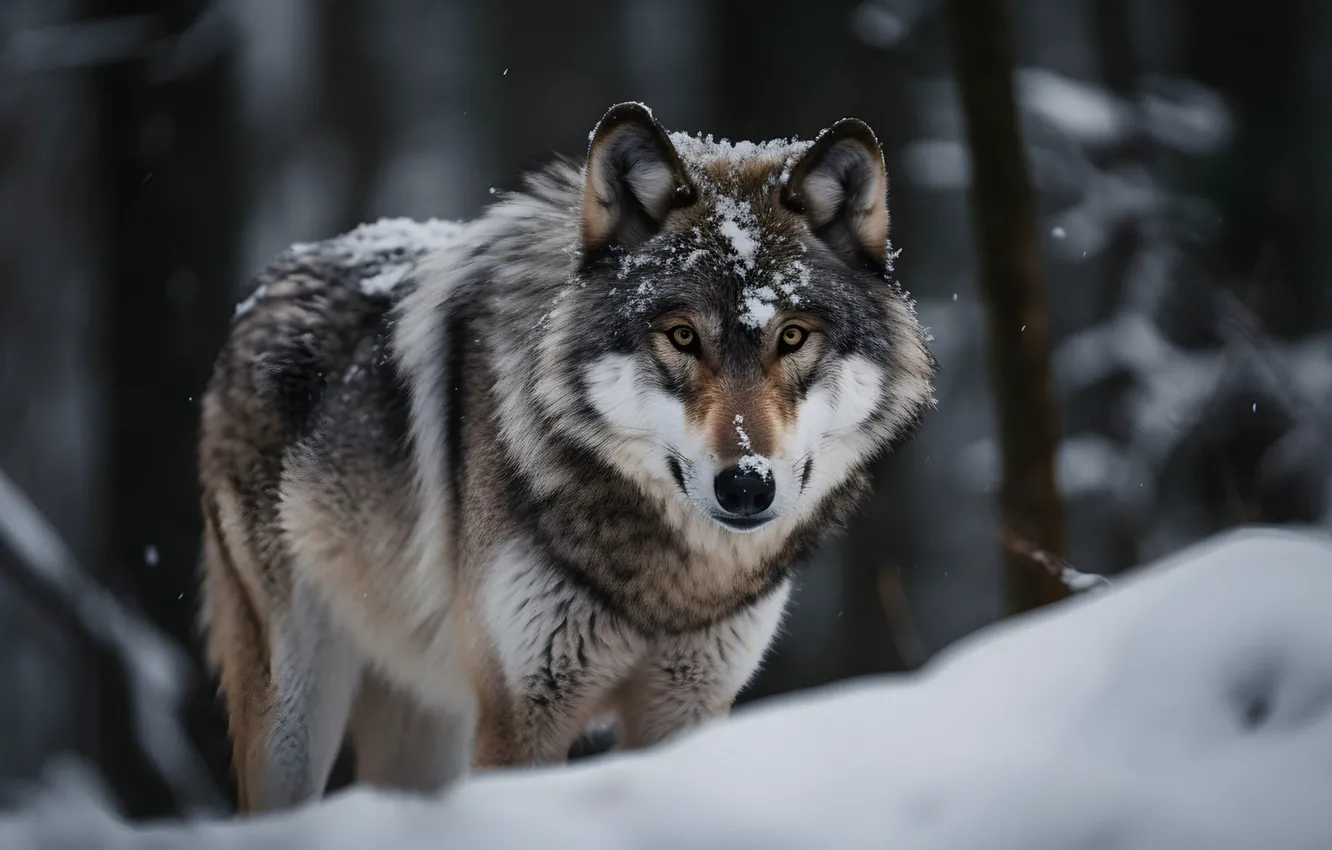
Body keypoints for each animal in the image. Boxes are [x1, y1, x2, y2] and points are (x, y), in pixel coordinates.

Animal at [197, 101, 936, 814]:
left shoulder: (687, 706)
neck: (673, 583)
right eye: (682, 336)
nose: (747, 485)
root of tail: (267, 284)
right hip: (298, 707)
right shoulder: (522, 713)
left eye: (792, 336)